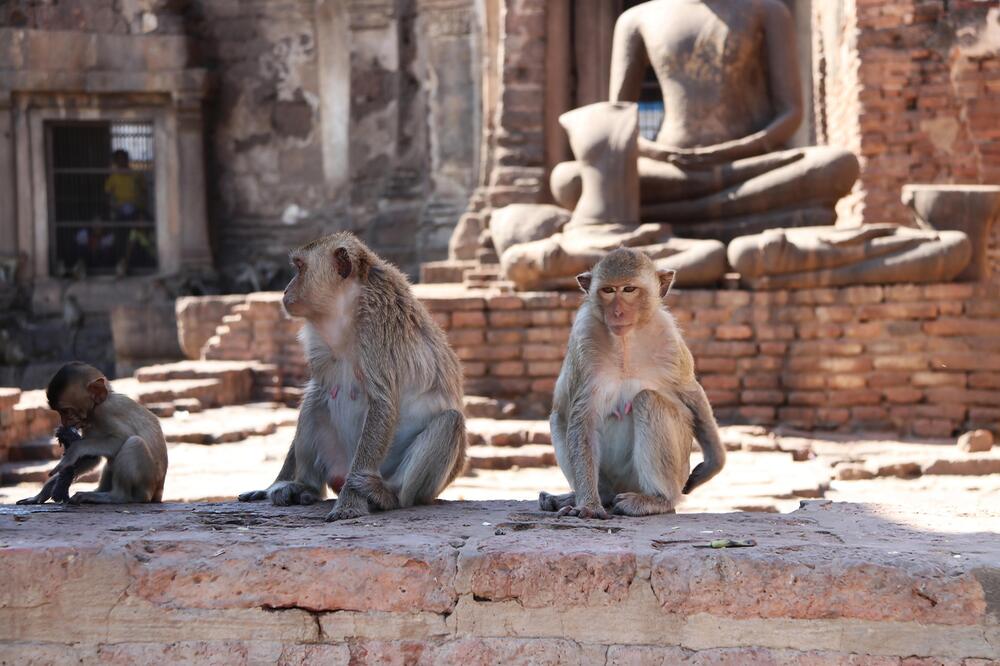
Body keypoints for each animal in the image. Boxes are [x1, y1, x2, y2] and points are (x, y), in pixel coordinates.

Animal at [15, 364, 168, 504]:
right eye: (59, 412)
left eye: (65, 411)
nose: (64, 422)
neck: (95, 412)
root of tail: (158, 493)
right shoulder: (88, 425)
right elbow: (90, 457)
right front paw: (45, 490)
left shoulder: (106, 412)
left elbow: (121, 438)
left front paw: (74, 449)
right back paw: (96, 492)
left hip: (146, 484)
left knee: (135, 442)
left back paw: (115, 496)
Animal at [239, 231, 468, 520]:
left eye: (299, 268)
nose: (285, 290)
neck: (347, 311)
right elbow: (319, 387)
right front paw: (272, 485)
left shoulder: (377, 328)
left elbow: (383, 403)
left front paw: (350, 503)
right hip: (336, 460)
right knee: (315, 399)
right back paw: (305, 487)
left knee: (450, 422)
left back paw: (387, 495)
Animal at [540, 246, 728, 516]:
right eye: (608, 290)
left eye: (629, 289)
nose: (617, 312)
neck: (626, 341)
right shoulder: (584, 338)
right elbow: (582, 416)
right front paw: (589, 505)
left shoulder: (669, 337)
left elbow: (691, 392)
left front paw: (714, 463)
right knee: (559, 416)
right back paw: (589, 497)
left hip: (661, 475)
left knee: (647, 399)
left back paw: (658, 500)